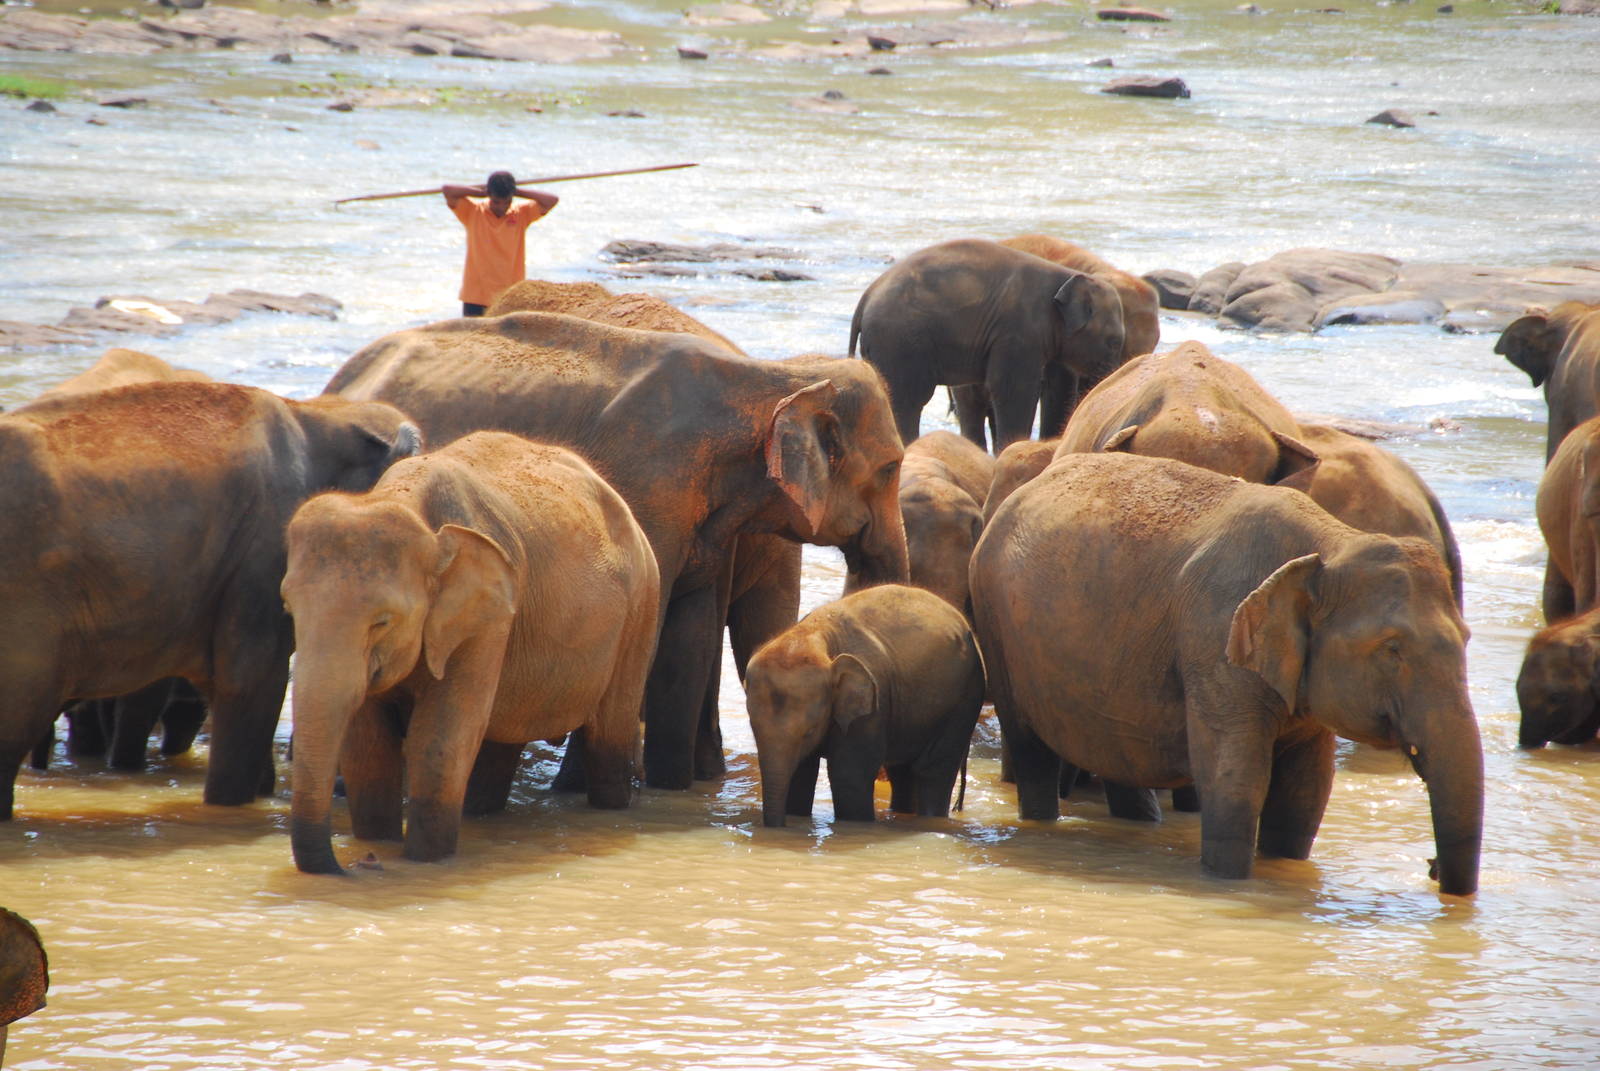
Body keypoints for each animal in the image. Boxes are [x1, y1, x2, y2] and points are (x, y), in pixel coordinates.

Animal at [283, 432, 660, 873]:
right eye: (289, 609)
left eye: (383, 621)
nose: (358, 865)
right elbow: (368, 744)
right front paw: (378, 841)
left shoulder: (488, 618)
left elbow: (441, 735)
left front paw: (424, 862)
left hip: (641, 609)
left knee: (610, 735)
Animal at [325, 311, 909, 793]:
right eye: (890, 469)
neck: (772, 379)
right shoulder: (649, 488)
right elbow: (643, 639)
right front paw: (577, 791)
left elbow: (688, 639)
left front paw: (668, 792)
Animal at [746, 584, 985, 827]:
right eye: (753, 729)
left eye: (809, 732)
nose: (780, 826)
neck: (813, 633)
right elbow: (801, 775)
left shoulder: (872, 706)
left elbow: (849, 776)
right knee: (903, 773)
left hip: (964, 697)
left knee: (934, 770)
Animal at [849, 238, 1127, 453]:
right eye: (1114, 342)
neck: (1065, 276)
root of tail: (866, 297)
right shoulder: (1018, 332)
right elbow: (1014, 388)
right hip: (899, 343)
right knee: (908, 400)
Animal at [970, 451, 1482, 895]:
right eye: (1392, 649)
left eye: (1467, 637)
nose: (1431, 868)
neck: (1331, 542)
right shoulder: (1215, 638)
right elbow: (1235, 780)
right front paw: (1229, 883)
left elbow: (1305, 793)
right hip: (998, 628)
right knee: (1032, 749)